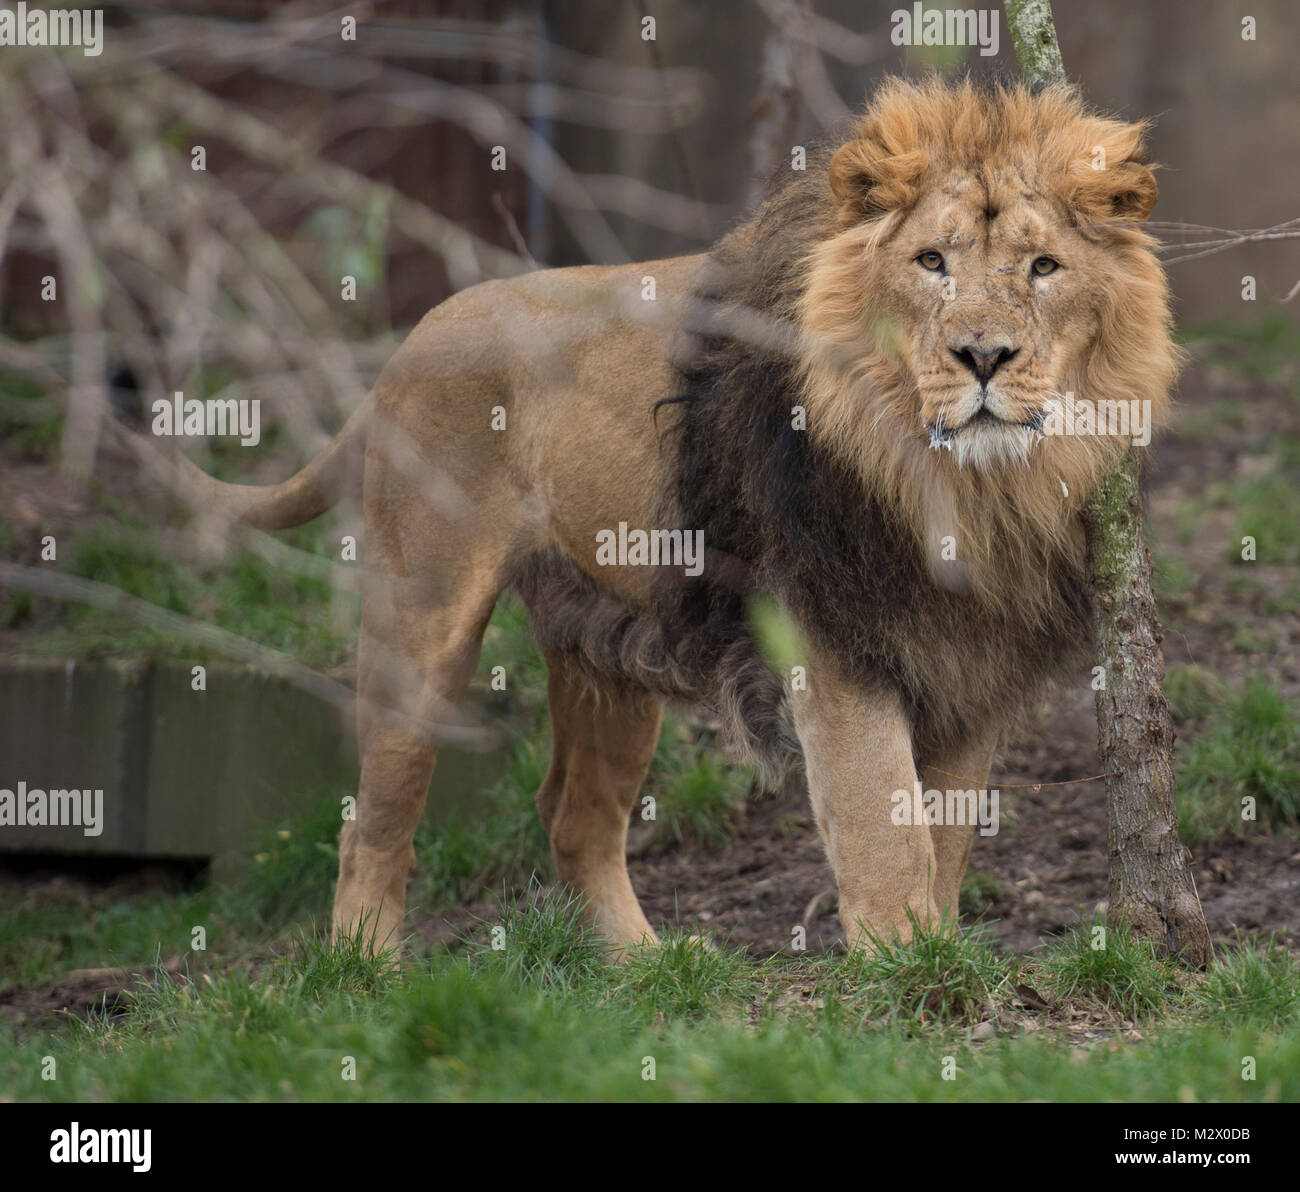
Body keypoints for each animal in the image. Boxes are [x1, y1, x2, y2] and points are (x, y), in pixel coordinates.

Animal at [180, 76, 1176, 954]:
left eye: (1043, 268)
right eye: (931, 261)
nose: (983, 356)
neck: (962, 486)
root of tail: (409, 342)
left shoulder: (971, 662)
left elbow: (947, 839)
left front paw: (940, 960)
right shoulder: (831, 640)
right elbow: (884, 830)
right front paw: (905, 974)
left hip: (608, 643)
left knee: (573, 815)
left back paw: (645, 968)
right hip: (420, 624)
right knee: (374, 825)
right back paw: (365, 972)